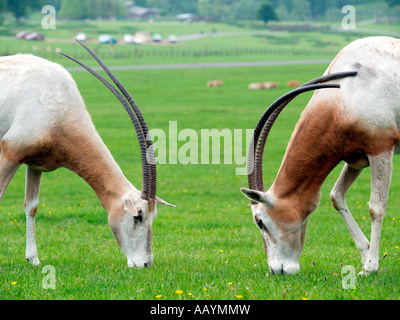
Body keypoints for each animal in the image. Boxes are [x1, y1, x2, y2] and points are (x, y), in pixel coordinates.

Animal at [0, 40, 174, 270]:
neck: (58, 104)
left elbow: (31, 206)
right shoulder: (11, 152)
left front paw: (33, 259)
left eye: (153, 216)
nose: (145, 263)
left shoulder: (35, 163)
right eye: (138, 216)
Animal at [241, 35, 400, 276]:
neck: (343, 95)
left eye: (260, 221)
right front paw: (365, 256)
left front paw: (371, 267)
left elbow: (376, 208)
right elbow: (336, 196)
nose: (276, 270)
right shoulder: (355, 157)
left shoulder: (381, 148)